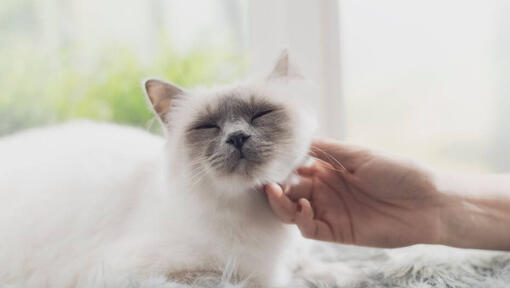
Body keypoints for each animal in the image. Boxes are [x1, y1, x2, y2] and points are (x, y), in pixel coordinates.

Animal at [0, 50, 318, 286]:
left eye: (260, 114)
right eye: (208, 127)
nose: (237, 137)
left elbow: (307, 266)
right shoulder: (137, 272)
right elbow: (241, 278)